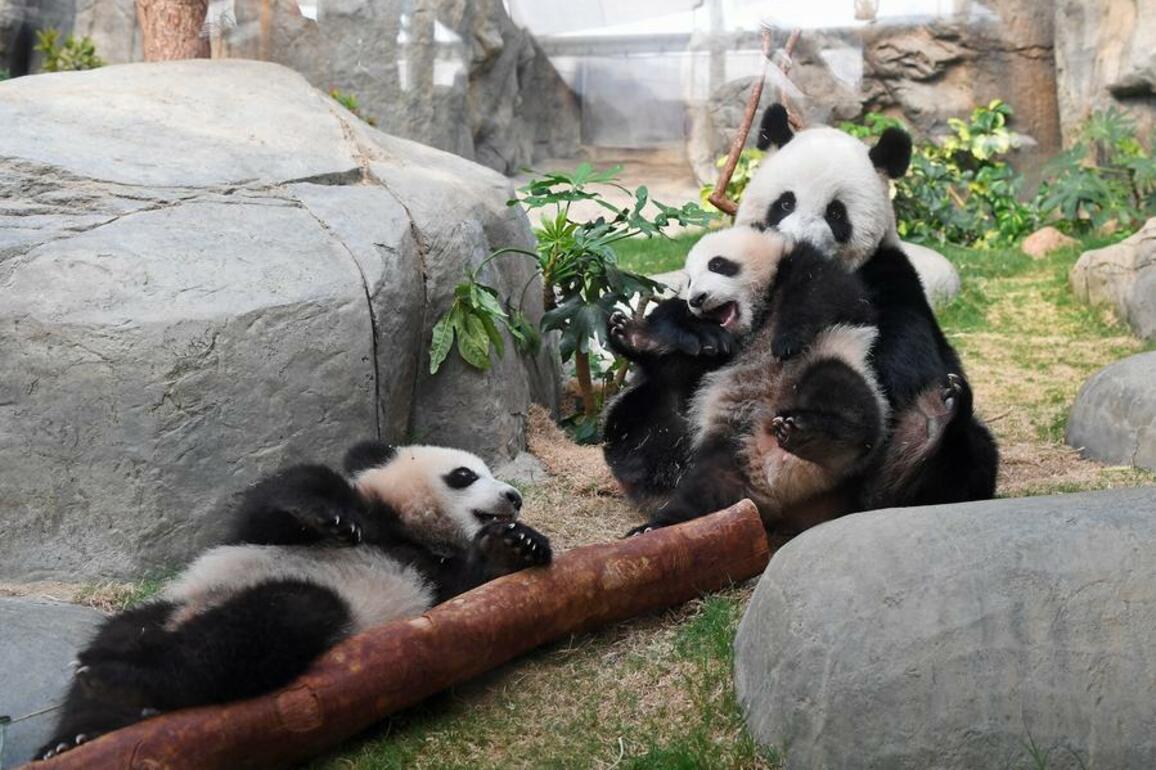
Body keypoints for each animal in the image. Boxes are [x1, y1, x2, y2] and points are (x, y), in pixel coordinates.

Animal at [36, 441, 551, 761]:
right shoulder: (296, 527)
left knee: (271, 623)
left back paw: (124, 688)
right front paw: (325, 513)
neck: (409, 531)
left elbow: (466, 590)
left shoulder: (433, 582)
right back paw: (77, 732)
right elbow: (273, 504)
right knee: (123, 634)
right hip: (176, 602)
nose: (514, 496)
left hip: (322, 610)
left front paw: (516, 545)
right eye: (464, 474)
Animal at [607, 226, 888, 536]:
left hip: (825, 365)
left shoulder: (811, 273)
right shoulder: (705, 362)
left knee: (841, 393)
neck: (756, 322)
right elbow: (681, 356)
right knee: (701, 493)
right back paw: (655, 527)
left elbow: (826, 293)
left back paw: (816, 438)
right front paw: (654, 337)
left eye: (718, 264)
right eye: (689, 280)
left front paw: (787, 340)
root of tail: (770, 467)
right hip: (725, 454)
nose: (697, 299)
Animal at [736, 104, 999, 507]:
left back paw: (929, 435)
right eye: (785, 202)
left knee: (971, 454)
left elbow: (904, 356)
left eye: (836, 213)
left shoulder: (887, 275)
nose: (799, 241)